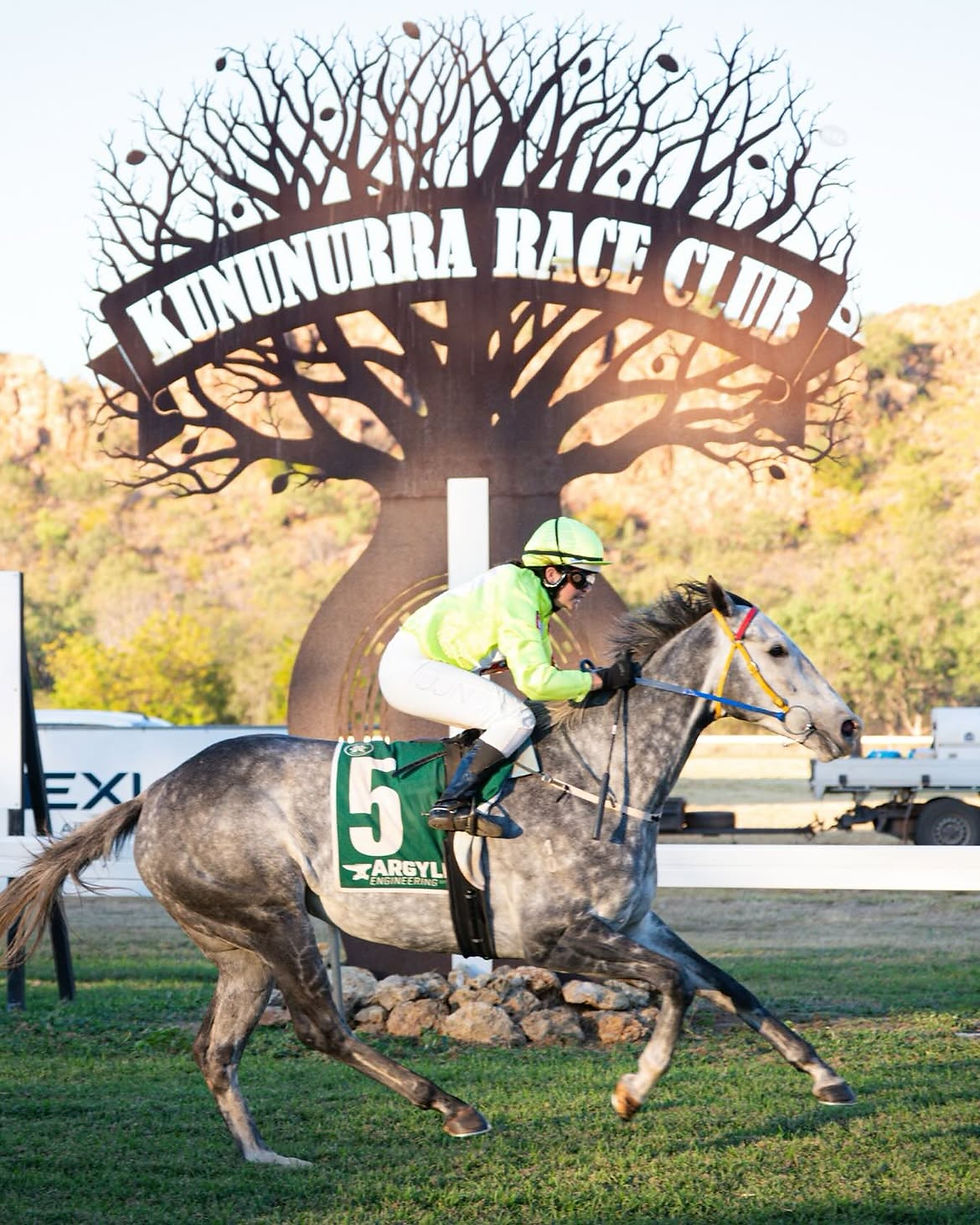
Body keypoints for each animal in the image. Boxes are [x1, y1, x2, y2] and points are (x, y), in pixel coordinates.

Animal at [0, 578, 861, 1167]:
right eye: (778, 650)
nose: (848, 725)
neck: (598, 781)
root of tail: (156, 792)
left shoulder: (636, 921)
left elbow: (728, 983)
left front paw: (826, 1076)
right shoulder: (557, 939)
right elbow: (679, 988)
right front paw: (631, 1088)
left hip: (238, 946)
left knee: (217, 1048)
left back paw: (263, 1154)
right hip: (274, 919)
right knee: (319, 1027)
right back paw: (451, 1105)